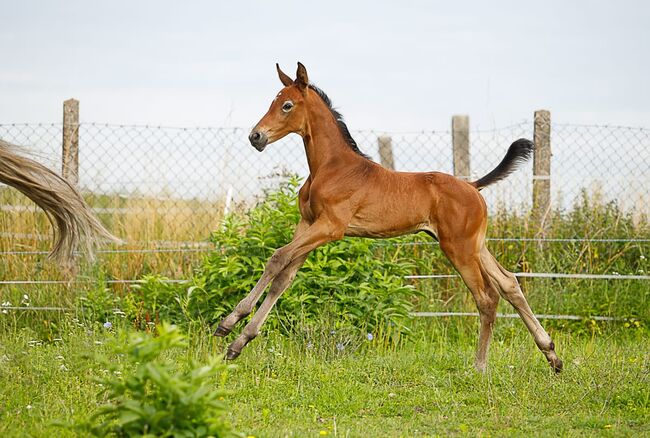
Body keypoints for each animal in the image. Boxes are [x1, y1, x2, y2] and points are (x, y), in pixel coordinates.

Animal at [215, 62, 560, 372]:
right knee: (509, 284)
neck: (332, 168)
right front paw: (238, 343)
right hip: (476, 245)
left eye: (286, 105)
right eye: (272, 102)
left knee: (487, 297)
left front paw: (229, 323)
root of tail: (473, 186)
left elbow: (276, 258)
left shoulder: (330, 227)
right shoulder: (308, 226)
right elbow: (283, 277)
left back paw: (480, 366)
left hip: (459, 248)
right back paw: (552, 355)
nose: (256, 136)